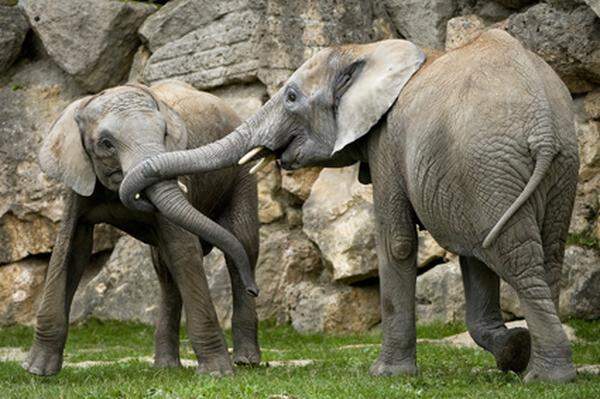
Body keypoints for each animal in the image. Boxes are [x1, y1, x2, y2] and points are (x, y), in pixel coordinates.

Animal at [23, 79, 260, 376]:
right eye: (106, 144)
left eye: (164, 134)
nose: (256, 290)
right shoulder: (78, 179)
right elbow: (71, 248)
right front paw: (37, 370)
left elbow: (184, 249)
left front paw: (218, 373)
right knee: (165, 267)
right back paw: (167, 367)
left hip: (242, 173)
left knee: (243, 244)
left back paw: (246, 361)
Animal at [120, 29, 576, 382]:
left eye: (290, 97)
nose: (255, 287)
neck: (369, 48)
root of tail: (542, 124)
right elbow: (468, 252)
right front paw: (511, 350)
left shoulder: (391, 142)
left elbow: (399, 243)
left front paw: (386, 375)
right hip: (544, 168)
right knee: (543, 254)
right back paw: (539, 366)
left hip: (488, 162)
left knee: (515, 257)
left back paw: (546, 377)